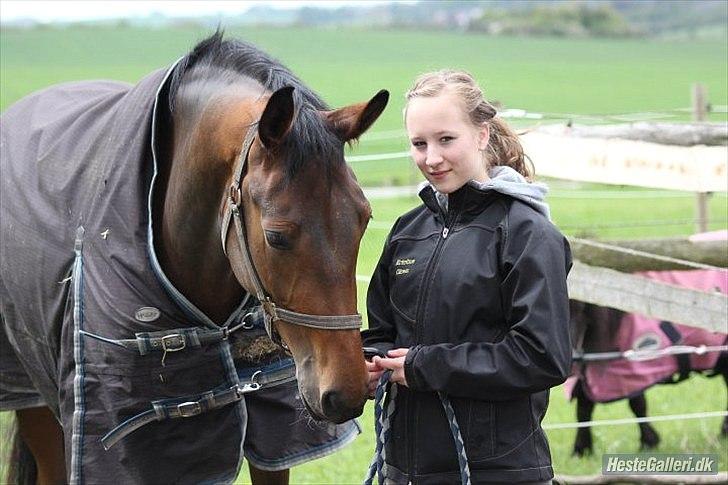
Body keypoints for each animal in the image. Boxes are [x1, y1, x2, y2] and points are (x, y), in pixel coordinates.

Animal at [568, 268, 728, 454]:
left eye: (581, 309)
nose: (572, 358)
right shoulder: (589, 372)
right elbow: (584, 408)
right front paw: (581, 450)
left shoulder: (631, 370)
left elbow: (637, 404)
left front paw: (648, 442)